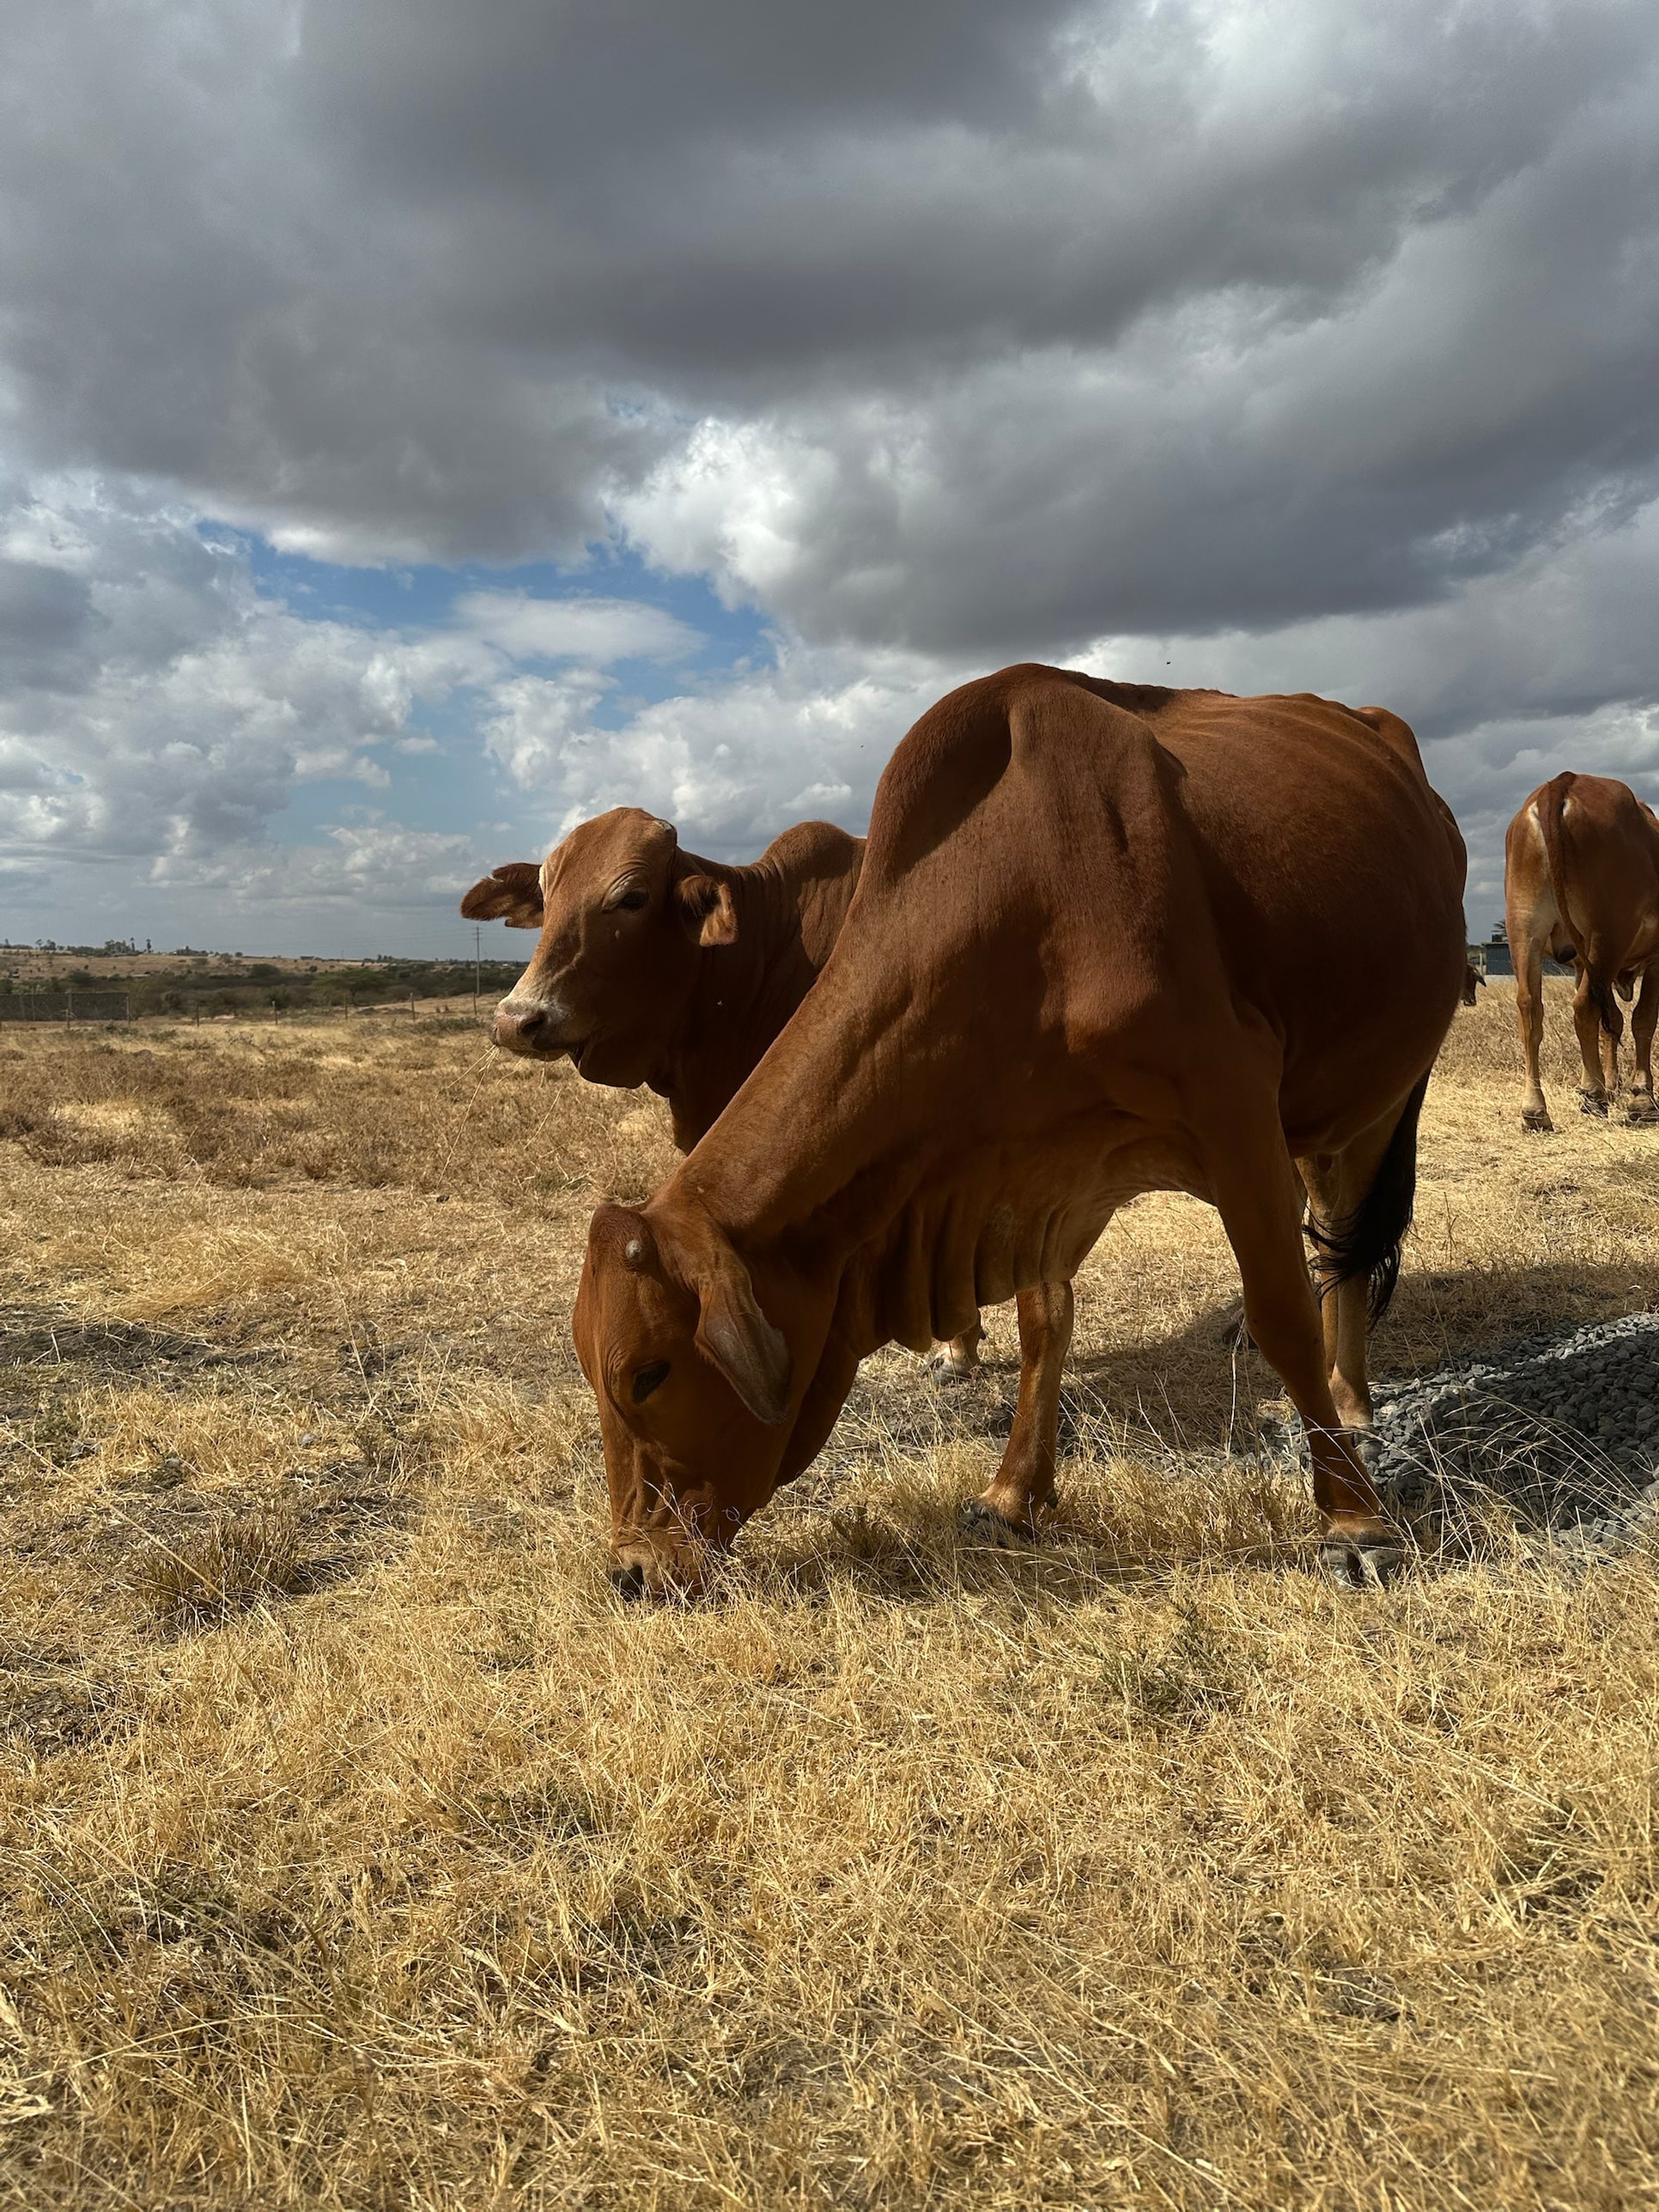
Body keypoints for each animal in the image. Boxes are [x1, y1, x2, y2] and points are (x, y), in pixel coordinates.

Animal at [571, 665, 1469, 1601]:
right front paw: (1013, 1494)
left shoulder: (1232, 1099)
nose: (631, 1572)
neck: (1021, 901)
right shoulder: (1042, 1165)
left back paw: (1352, 1401)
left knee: (1342, 1243)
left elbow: (1284, 1311)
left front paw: (1354, 1522)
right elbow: (1047, 1321)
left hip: (1372, 1099)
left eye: (648, 1373)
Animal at [1503, 773, 1659, 1132]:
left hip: (1524, 928)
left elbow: (1610, 1023)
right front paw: (1640, 1098)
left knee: (1530, 1008)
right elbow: (1643, 1019)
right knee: (1585, 1006)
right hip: (1608, 935)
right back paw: (1594, 1095)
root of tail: (1562, 784)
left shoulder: (1579, 965)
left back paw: (1535, 1109)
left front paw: (1613, 1083)